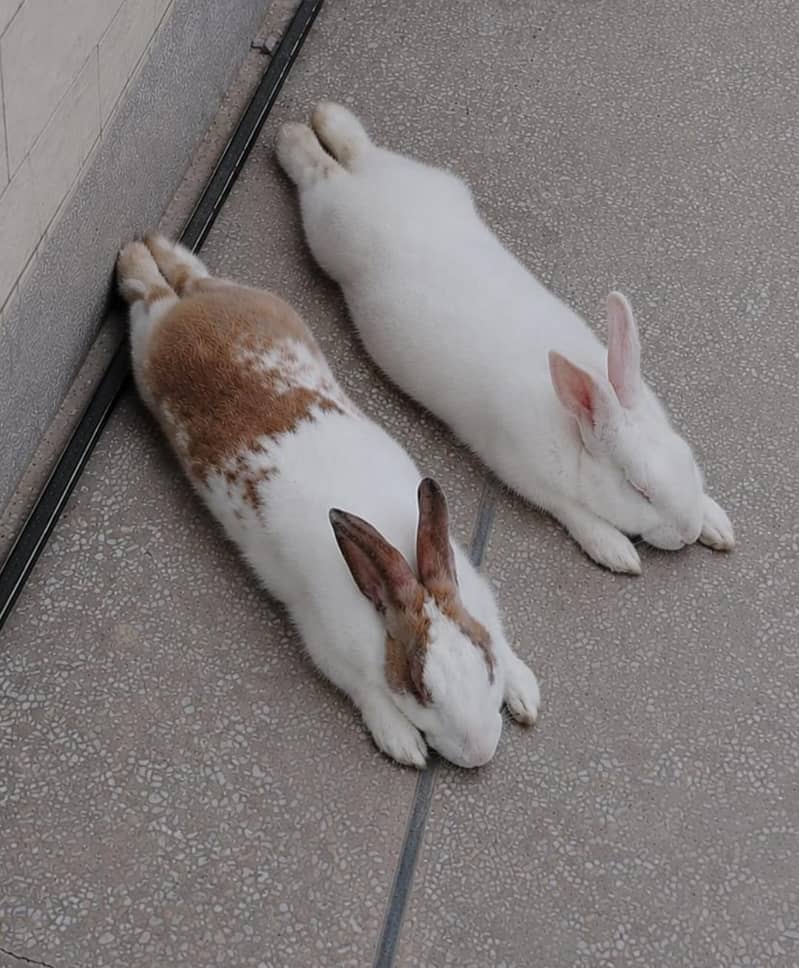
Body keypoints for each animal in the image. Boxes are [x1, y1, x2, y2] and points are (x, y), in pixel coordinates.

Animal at [115, 234, 540, 768]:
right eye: (420, 687)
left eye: (485, 664)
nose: (480, 751)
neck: (390, 590)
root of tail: (188, 309)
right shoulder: (329, 647)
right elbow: (369, 693)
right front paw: (403, 743)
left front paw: (525, 693)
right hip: (144, 341)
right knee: (147, 292)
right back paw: (131, 255)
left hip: (227, 294)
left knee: (179, 271)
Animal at [275, 102, 735, 575]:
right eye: (639, 490)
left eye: (688, 459)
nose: (687, 532)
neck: (574, 427)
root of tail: (367, 183)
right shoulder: (522, 472)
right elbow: (573, 511)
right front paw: (616, 550)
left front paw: (717, 523)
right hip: (326, 228)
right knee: (317, 173)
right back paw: (290, 136)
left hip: (421, 180)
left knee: (353, 147)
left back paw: (328, 117)